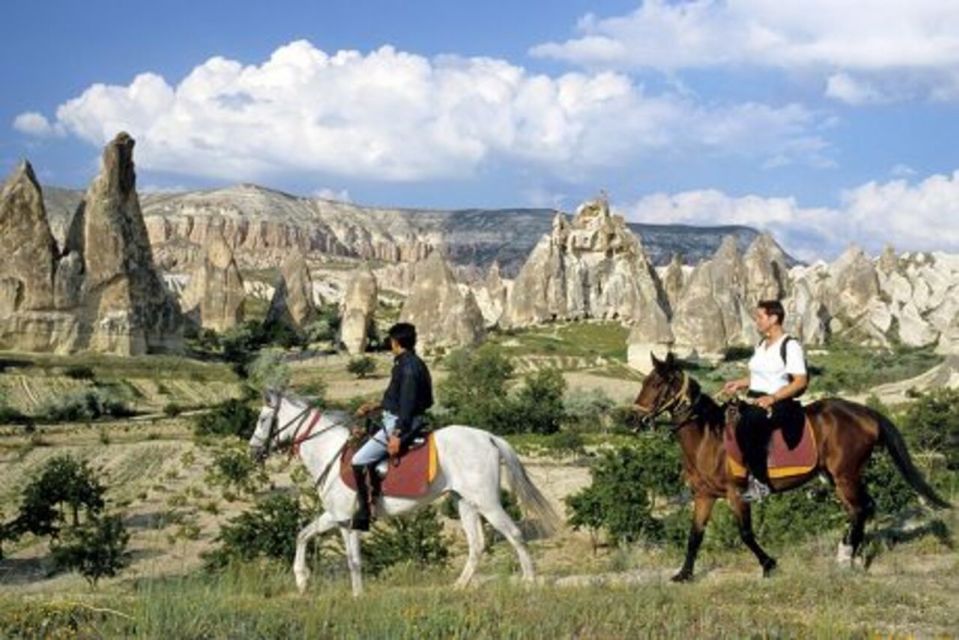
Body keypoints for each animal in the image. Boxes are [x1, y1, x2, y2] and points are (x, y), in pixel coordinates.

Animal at [249, 392, 564, 596]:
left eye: (263, 419)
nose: (253, 451)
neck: (330, 452)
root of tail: (488, 437)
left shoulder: (347, 521)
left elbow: (353, 560)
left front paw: (356, 596)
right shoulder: (337, 518)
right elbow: (303, 535)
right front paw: (303, 581)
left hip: (487, 503)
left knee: (514, 534)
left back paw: (529, 582)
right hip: (466, 503)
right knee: (477, 545)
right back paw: (458, 587)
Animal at [632, 352, 948, 584]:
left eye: (657, 384)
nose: (633, 421)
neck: (709, 436)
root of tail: (864, 413)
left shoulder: (737, 494)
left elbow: (746, 534)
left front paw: (769, 564)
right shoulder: (704, 496)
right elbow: (695, 535)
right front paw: (684, 574)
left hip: (845, 475)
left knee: (860, 509)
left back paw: (847, 557)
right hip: (836, 477)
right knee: (860, 509)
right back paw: (849, 552)